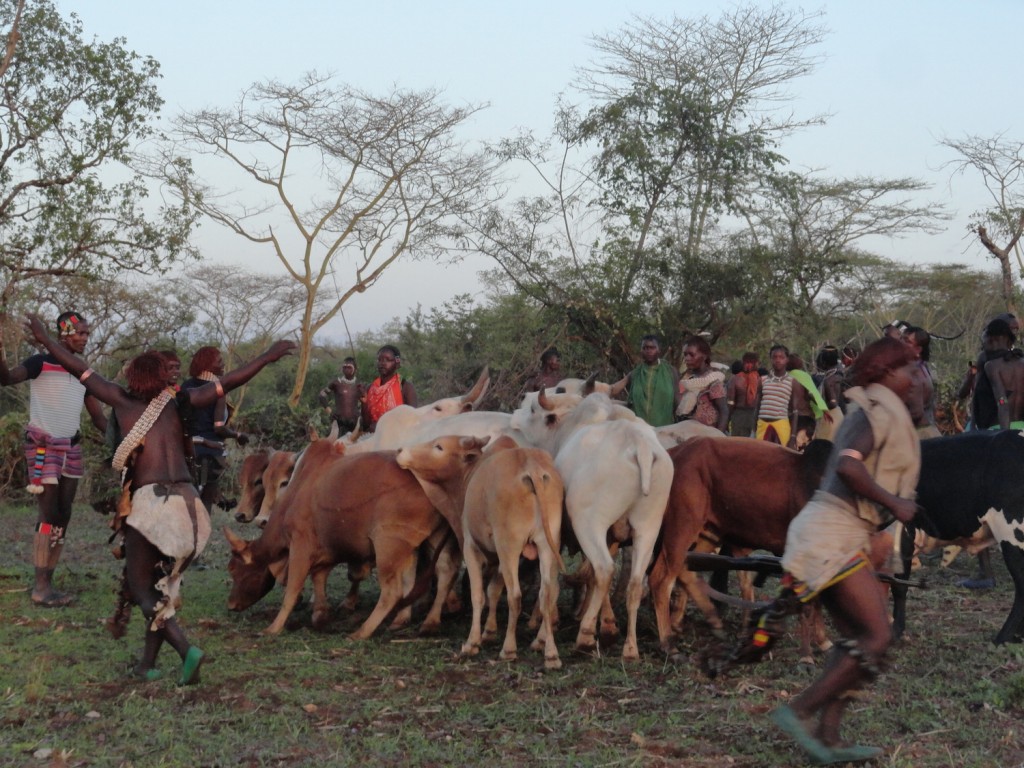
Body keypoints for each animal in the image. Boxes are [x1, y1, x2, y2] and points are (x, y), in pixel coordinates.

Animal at [393, 438, 569, 667]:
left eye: (439, 446)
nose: (400, 450)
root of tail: (532, 466)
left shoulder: (472, 547)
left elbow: (478, 594)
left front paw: (473, 643)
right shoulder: (498, 558)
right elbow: (493, 591)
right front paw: (489, 632)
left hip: (509, 547)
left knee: (515, 596)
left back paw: (509, 649)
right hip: (548, 546)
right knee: (548, 592)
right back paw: (550, 652)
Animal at [651, 438, 835, 655]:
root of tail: (675, 452)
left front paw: (823, 641)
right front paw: (815, 647)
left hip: (710, 533)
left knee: (685, 571)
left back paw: (702, 622)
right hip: (682, 528)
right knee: (660, 580)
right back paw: (668, 643)